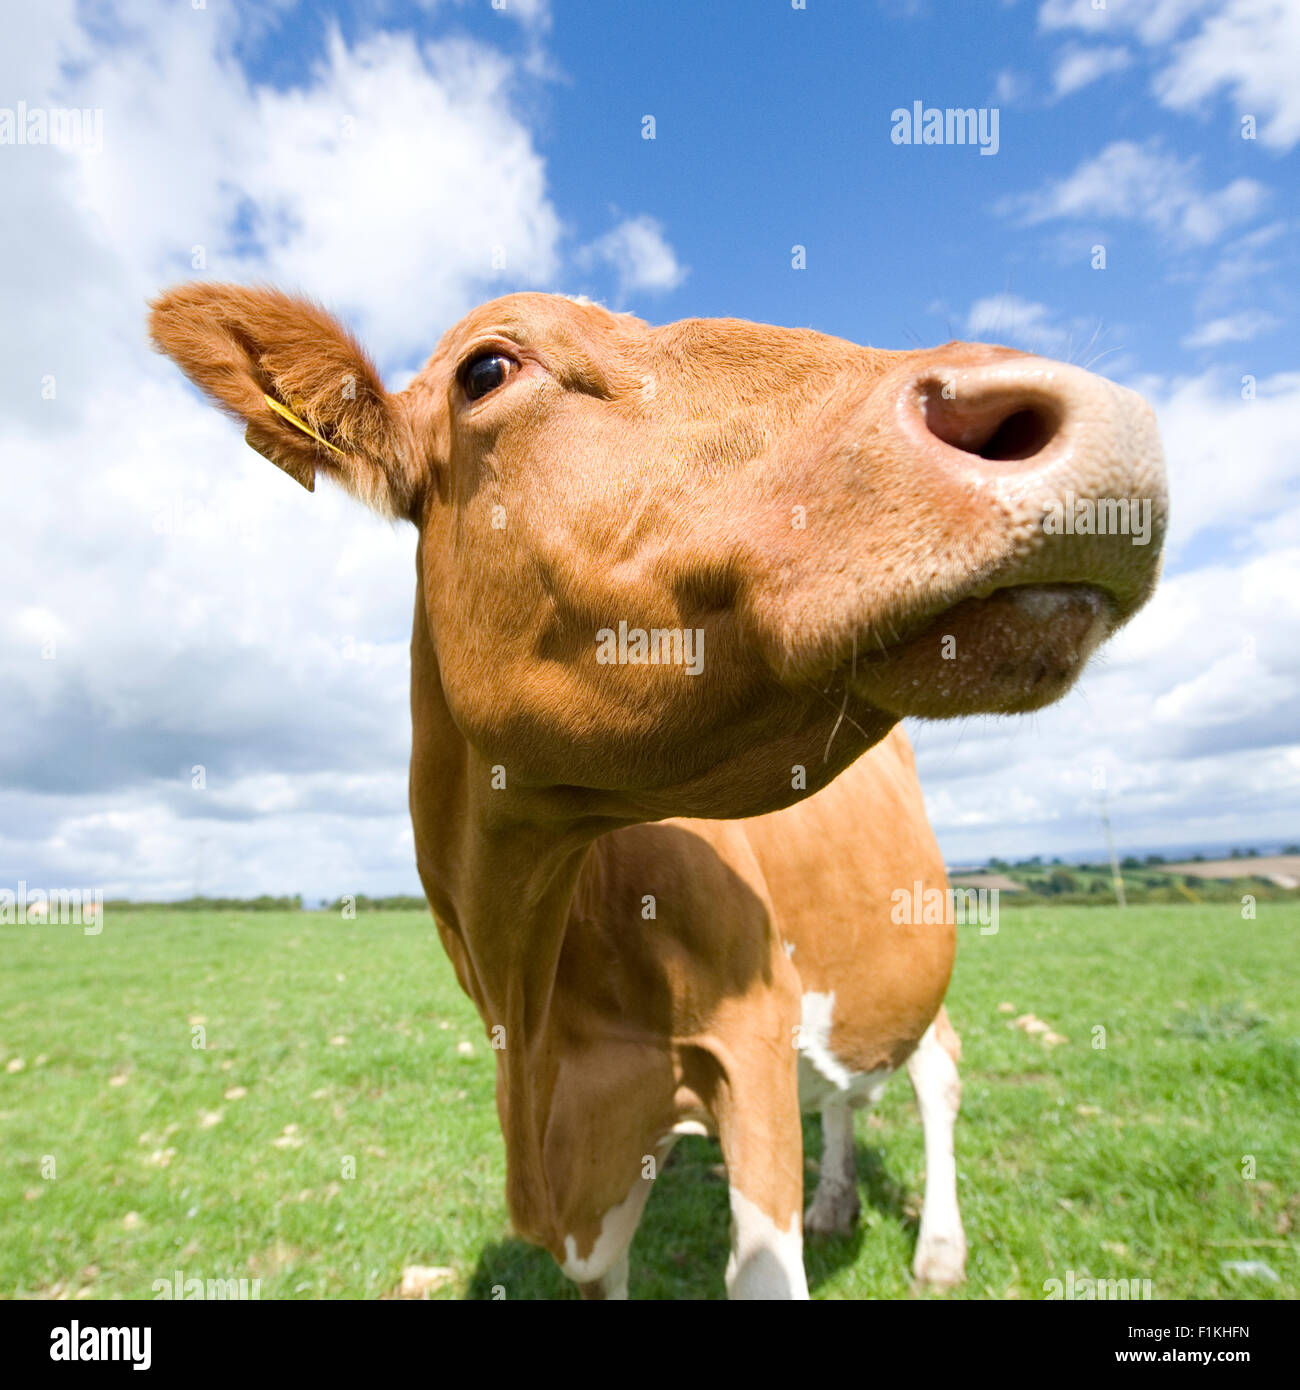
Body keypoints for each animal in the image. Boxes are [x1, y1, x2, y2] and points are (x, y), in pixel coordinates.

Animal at [152, 287, 1167, 1295]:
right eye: (487, 370)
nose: (1094, 412)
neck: (534, 1014)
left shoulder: (751, 1048)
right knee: (850, 1088)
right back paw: (839, 1200)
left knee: (938, 1068)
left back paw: (940, 1248)